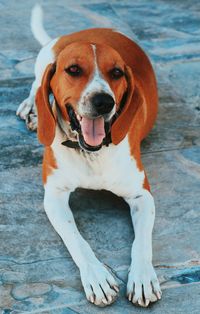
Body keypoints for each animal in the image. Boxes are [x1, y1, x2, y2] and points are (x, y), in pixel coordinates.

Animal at [16, 4, 162, 310]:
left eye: (116, 72)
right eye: (73, 70)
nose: (103, 101)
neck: (91, 153)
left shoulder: (142, 195)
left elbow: (142, 243)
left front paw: (143, 278)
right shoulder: (54, 195)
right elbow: (76, 239)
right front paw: (97, 276)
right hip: (44, 60)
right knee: (36, 84)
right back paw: (31, 107)